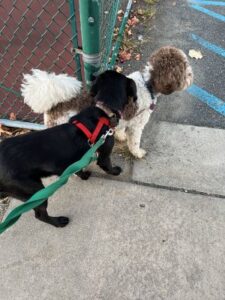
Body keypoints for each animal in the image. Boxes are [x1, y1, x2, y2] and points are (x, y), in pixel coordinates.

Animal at [0, 71, 137, 227]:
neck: (103, 110)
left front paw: (83, 175)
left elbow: (76, 169)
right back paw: (59, 222)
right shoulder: (104, 154)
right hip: (34, 191)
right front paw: (115, 171)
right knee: (40, 215)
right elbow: (107, 166)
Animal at [21, 45, 193, 158]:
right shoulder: (137, 126)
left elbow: (121, 129)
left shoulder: (123, 120)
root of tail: (53, 103)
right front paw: (138, 153)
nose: (192, 75)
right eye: (185, 68)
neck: (147, 84)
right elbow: (134, 142)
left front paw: (120, 137)